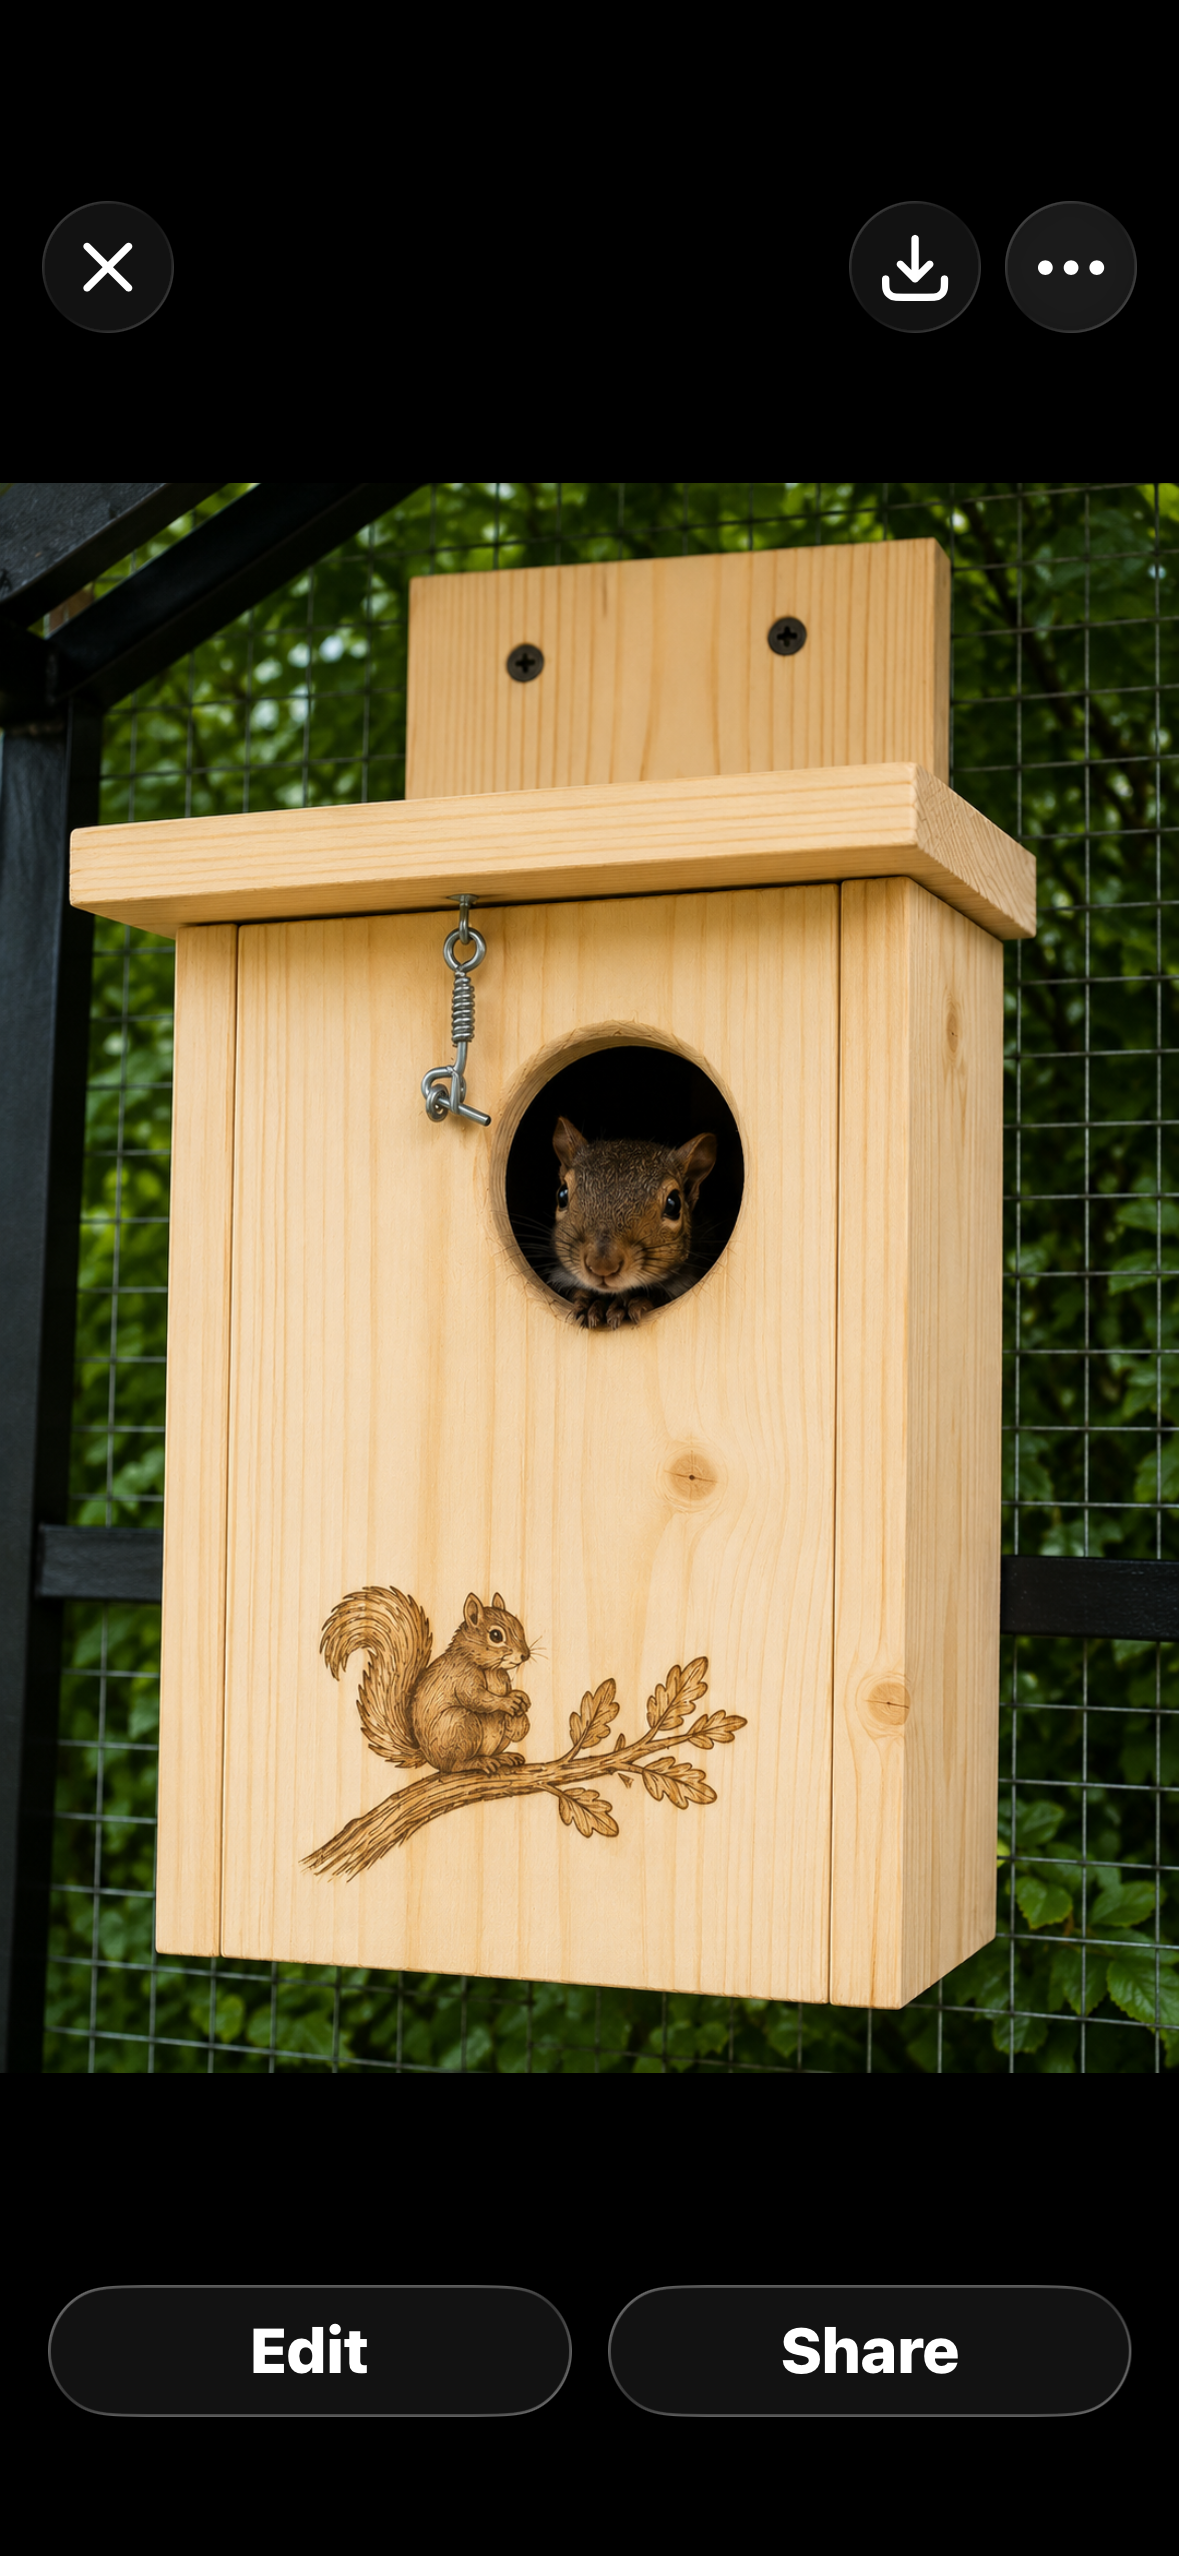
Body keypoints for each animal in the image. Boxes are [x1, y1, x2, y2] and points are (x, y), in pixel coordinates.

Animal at [320, 1587, 532, 1776]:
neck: (492, 1669)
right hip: (459, 1723)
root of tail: (427, 1755)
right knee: (453, 1765)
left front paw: (521, 1702)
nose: (525, 1655)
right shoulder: (462, 1677)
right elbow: (476, 1699)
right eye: (496, 1635)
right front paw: (508, 1702)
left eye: (521, 1627)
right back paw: (478, 1762)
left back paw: (504, 1757)